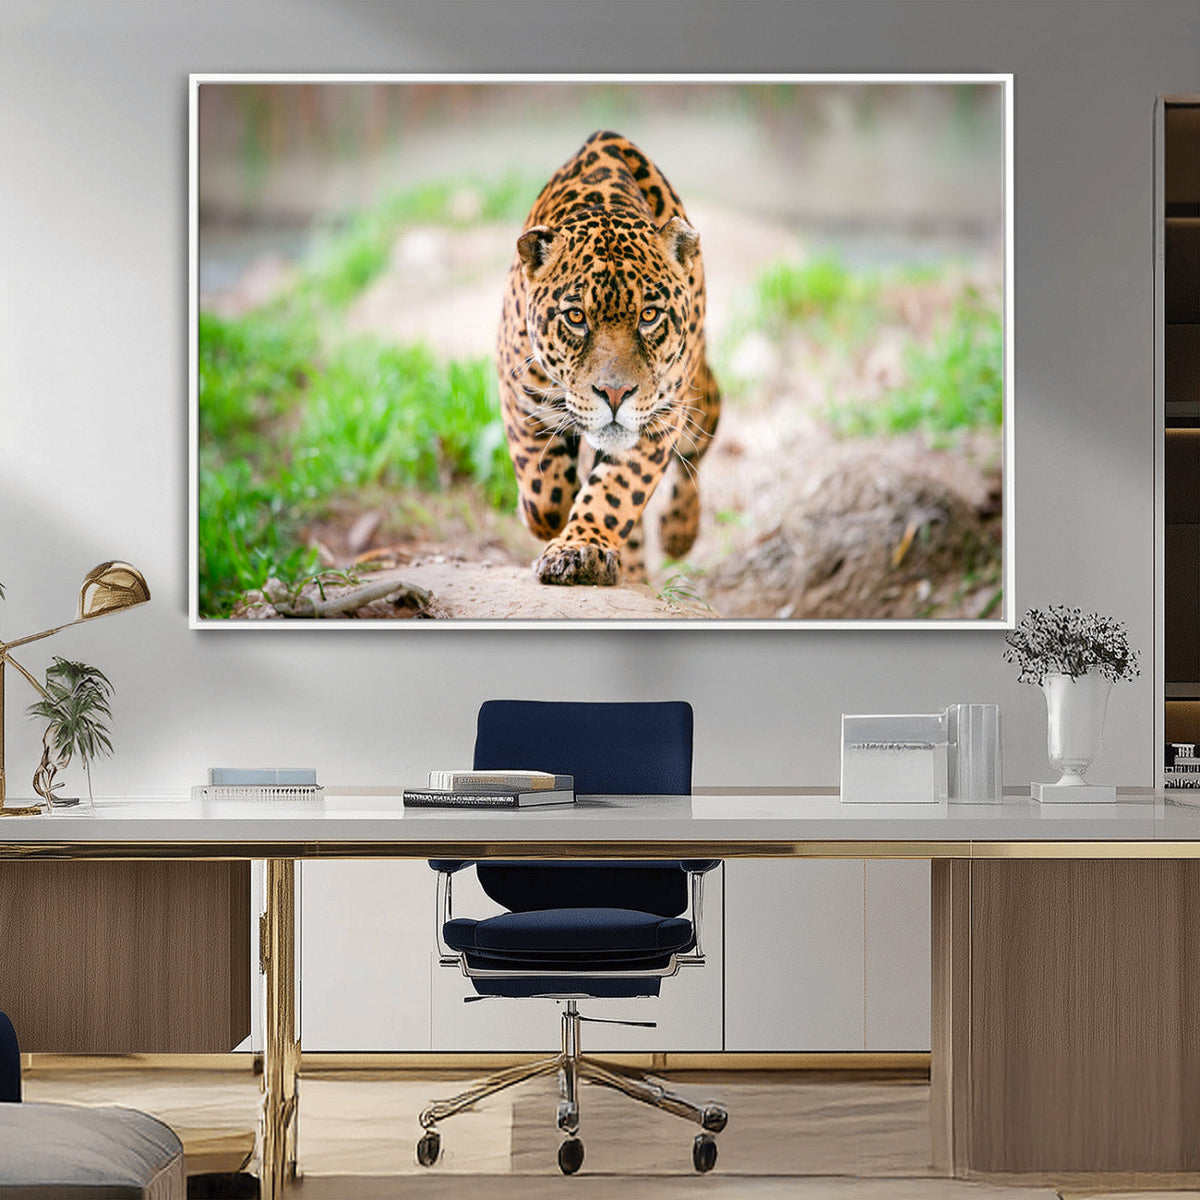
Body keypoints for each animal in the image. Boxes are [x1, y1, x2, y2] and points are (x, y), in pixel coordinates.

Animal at [496, 130, 721, 587]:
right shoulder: (518, 392)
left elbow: (615, 492)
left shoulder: (660, 418)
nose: (615, 394)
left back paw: (678, 533)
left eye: (649, 316)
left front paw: (580, 548)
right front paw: (546, 520)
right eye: (576, 317)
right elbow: (543, 492)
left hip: (698, 399)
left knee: (700, 441)